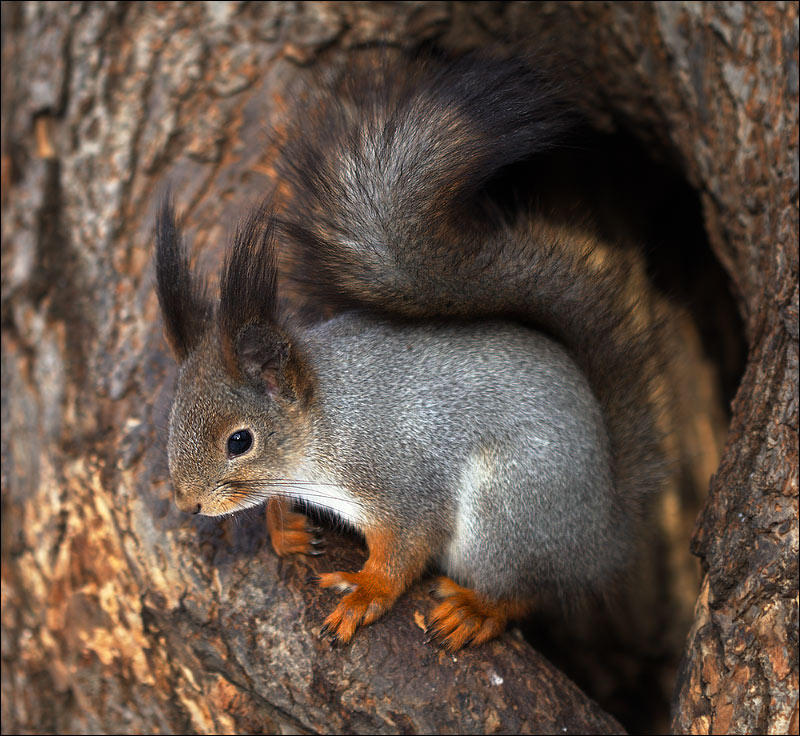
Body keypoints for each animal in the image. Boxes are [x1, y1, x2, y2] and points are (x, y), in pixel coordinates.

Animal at [155, 50, 668, 648]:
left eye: (240, 441)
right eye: (172, 419)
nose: (188, 503)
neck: (327, 421)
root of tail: (603, 537)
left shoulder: (401, 479)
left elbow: (405, 547)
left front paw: (366, 592)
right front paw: (284, 525)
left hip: (510, 513)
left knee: (525, 590)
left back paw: (477, 610)